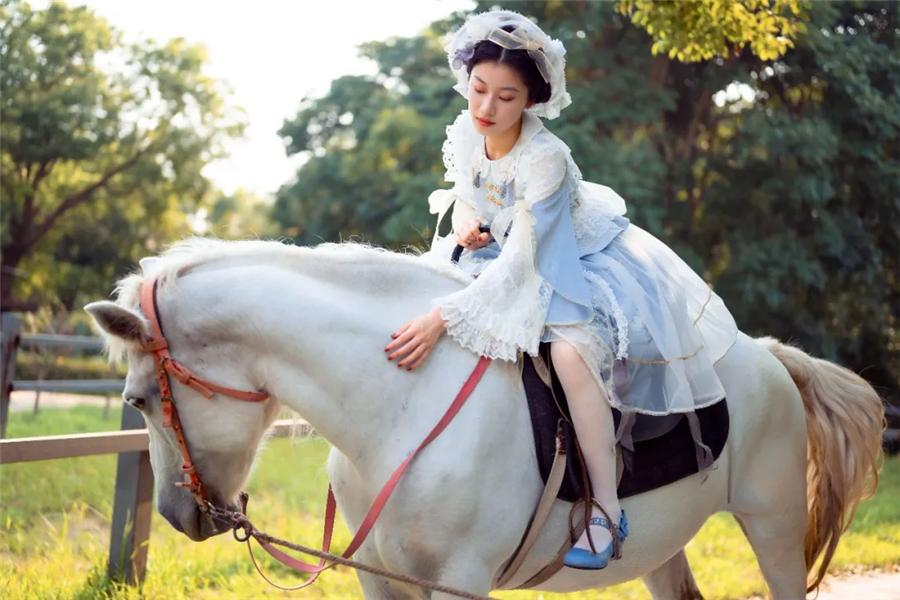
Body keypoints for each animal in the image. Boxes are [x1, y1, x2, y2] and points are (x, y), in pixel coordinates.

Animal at [88, 237, 884, 596]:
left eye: (138, 401)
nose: (178, 516)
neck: (399, 411)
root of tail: (769, 357)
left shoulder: (462, 582)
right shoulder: (383, 582)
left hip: (772, 524)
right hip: (666, 548)